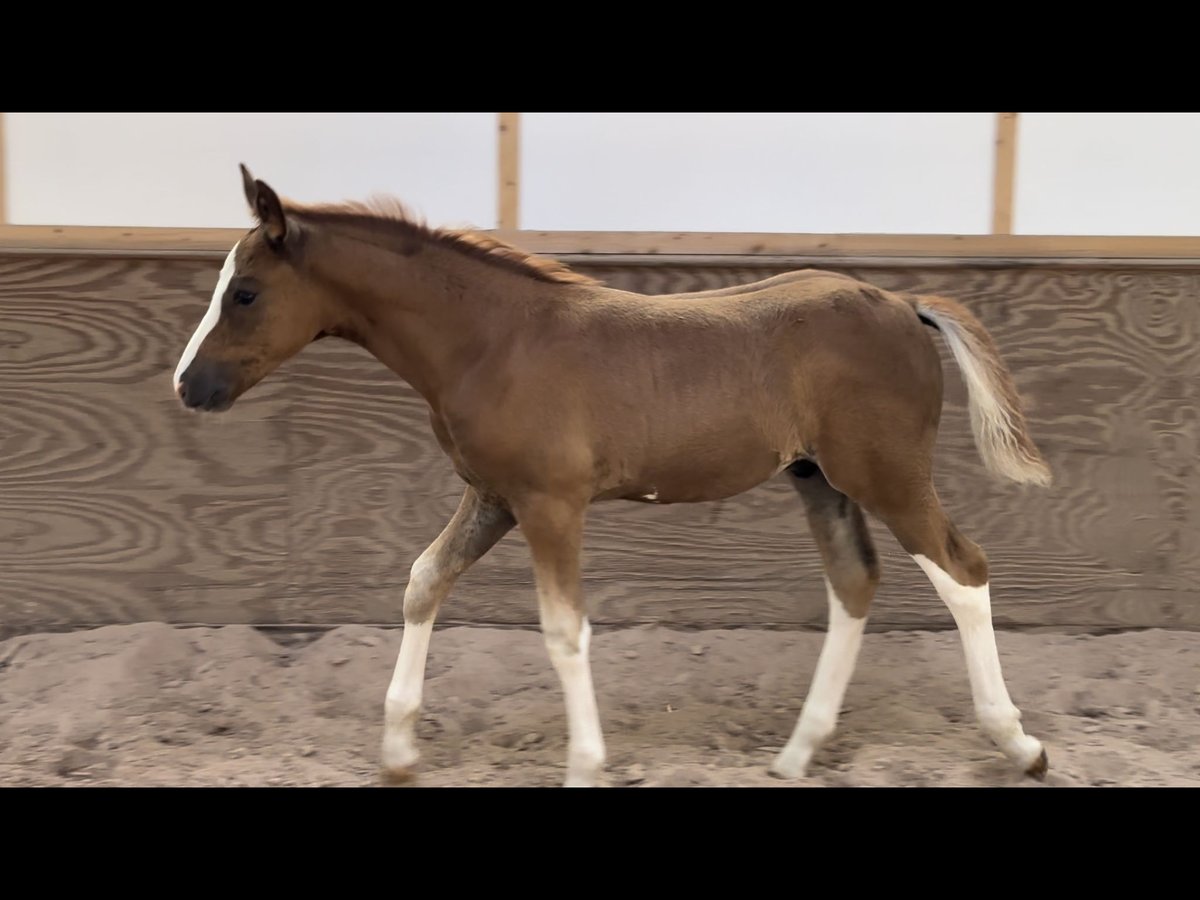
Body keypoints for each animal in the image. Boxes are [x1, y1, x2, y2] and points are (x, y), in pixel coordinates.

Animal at [172, 164, 1053, 787]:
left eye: (243, 293)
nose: (188, 386)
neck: (493, 341)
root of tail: (902, 304)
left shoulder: (551, 504)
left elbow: (565, 630)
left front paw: (586, 766)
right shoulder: (493, 497)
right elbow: (424, 579)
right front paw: (396, 752)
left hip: (886, 474)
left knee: (963, 570)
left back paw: (1019, 743)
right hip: (820, 479)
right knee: (855, 581)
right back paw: (797, 753)